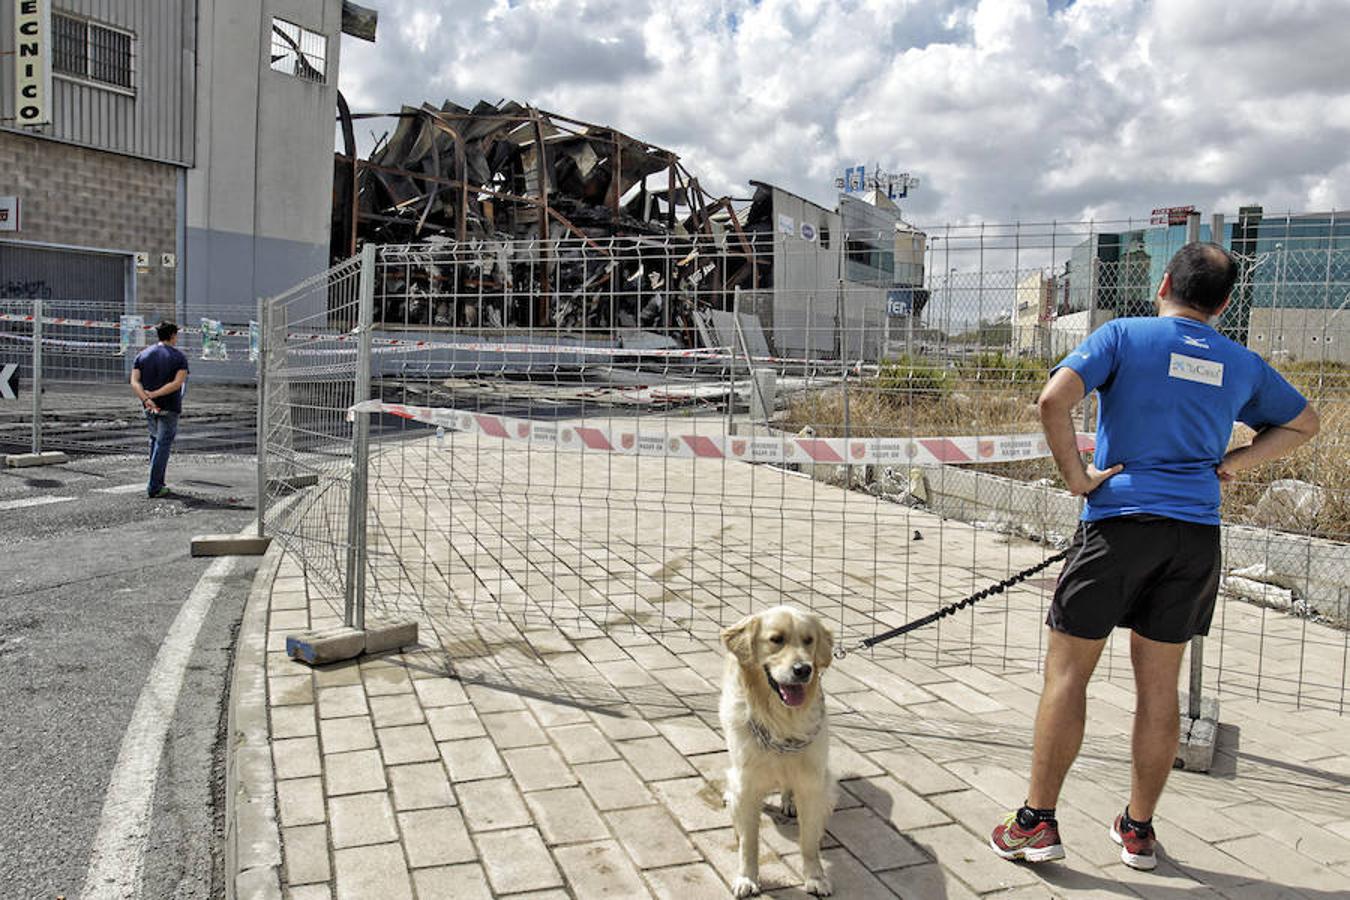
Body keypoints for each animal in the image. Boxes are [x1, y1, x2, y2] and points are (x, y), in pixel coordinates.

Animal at [718, 609, 831, 895]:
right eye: (776, 640)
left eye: (809, 640)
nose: (803, 669)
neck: (782, 721)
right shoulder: (747, 783)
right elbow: (749, 843)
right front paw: (747, 878)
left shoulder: (812, 782)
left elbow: (809, 841)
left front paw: (815, 877)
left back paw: (788, 801)